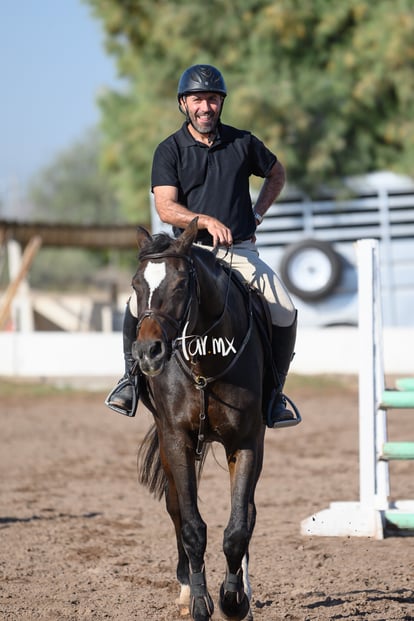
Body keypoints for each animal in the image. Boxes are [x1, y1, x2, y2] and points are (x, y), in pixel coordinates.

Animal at [133, 218, 268, 620]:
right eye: (136, 286)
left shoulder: (246, 442)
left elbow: (239, 526)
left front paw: (234, 600)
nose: (148, 353)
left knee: (248, 513)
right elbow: (191, 524)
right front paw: (198, 600)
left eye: (180, 284)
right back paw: (184, 585)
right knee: (176, 507)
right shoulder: (176, 438)